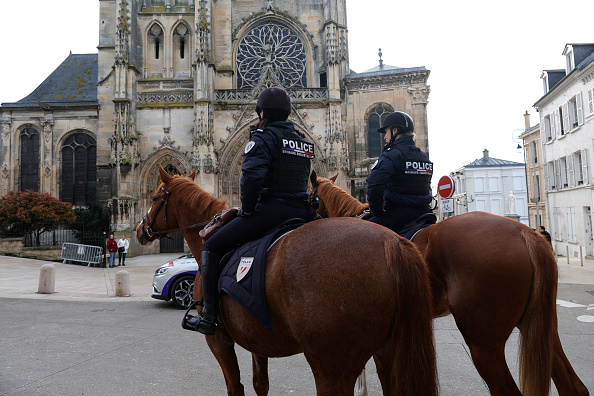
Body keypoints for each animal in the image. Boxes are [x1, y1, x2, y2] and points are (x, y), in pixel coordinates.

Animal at [136, 166, 438, 396]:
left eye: (155, 196)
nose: (140, 229)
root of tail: (392, 242)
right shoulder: (255, 335)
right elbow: (260, 384)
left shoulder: (219, 340)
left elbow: (236, 387)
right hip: (389, 353)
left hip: (332, 365)